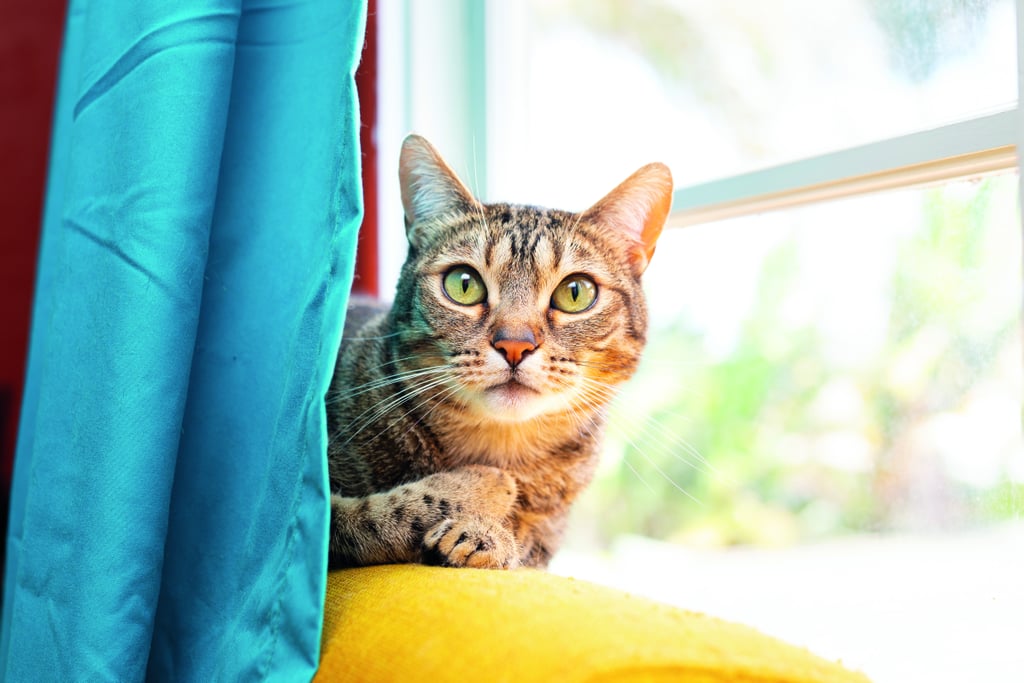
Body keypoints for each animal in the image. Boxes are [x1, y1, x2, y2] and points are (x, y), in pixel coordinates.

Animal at [327, 135, 671, 573]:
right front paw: (483, 487)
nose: (515, 344)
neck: (500, 450)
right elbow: (369, 515)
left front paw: (490, 534)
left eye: (575, 292)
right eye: (463, 284)